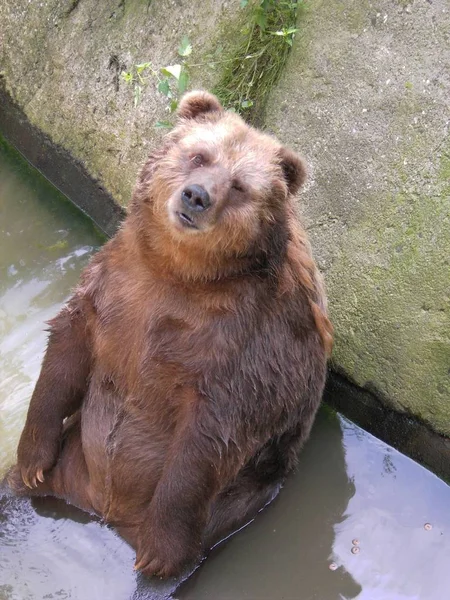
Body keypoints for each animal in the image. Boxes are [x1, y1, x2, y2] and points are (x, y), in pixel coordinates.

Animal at [7, 91, 334, 580]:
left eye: (240, 185)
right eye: (199, 155)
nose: (197, 195)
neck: (181, 274)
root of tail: (101, 509)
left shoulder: (244, 344)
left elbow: (207, 438)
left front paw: (160, 551)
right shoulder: (115, 288)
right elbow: (65, 354)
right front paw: (30, 459)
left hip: (236, 499)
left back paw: (157, 569)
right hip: (73, 452)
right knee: (12, 489)